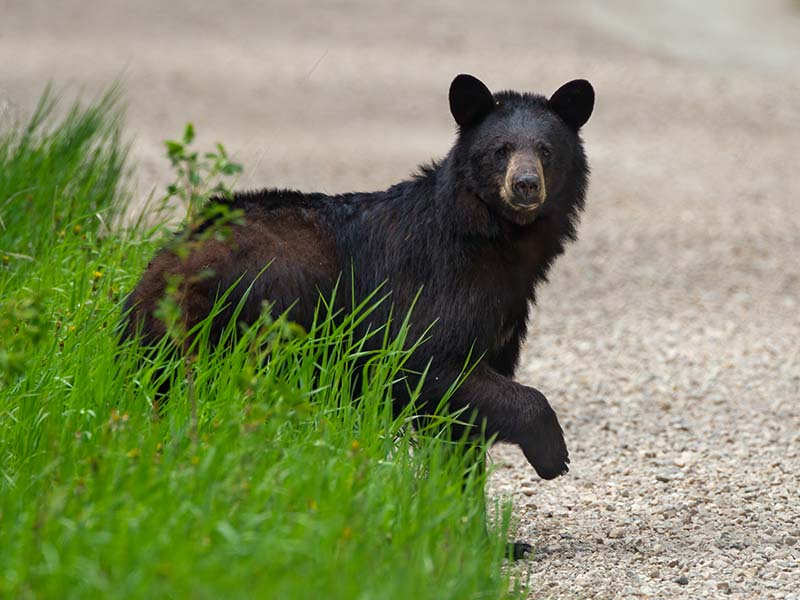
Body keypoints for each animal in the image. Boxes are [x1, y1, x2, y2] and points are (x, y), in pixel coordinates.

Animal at [124, 74, 594, 555]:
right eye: (500, 149)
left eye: (546, 150)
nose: (525, 184)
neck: (494, 245)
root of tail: (156, 275)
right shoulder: (433, 292)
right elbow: (430, 364)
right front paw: (552, 454)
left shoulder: (501, 318)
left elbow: (459, 434)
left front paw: (484, 540)